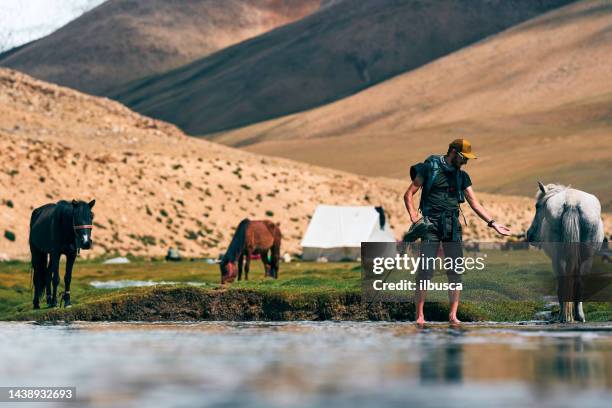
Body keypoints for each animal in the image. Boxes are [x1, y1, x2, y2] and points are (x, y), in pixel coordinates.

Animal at [524, 182, 604, 322]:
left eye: (537, 206)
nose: (529, 235)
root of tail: (572, 202)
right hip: (587, 258)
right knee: (579, 283)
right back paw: (579, 316)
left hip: (558, 259)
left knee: (562, 283)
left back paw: (563, 316)